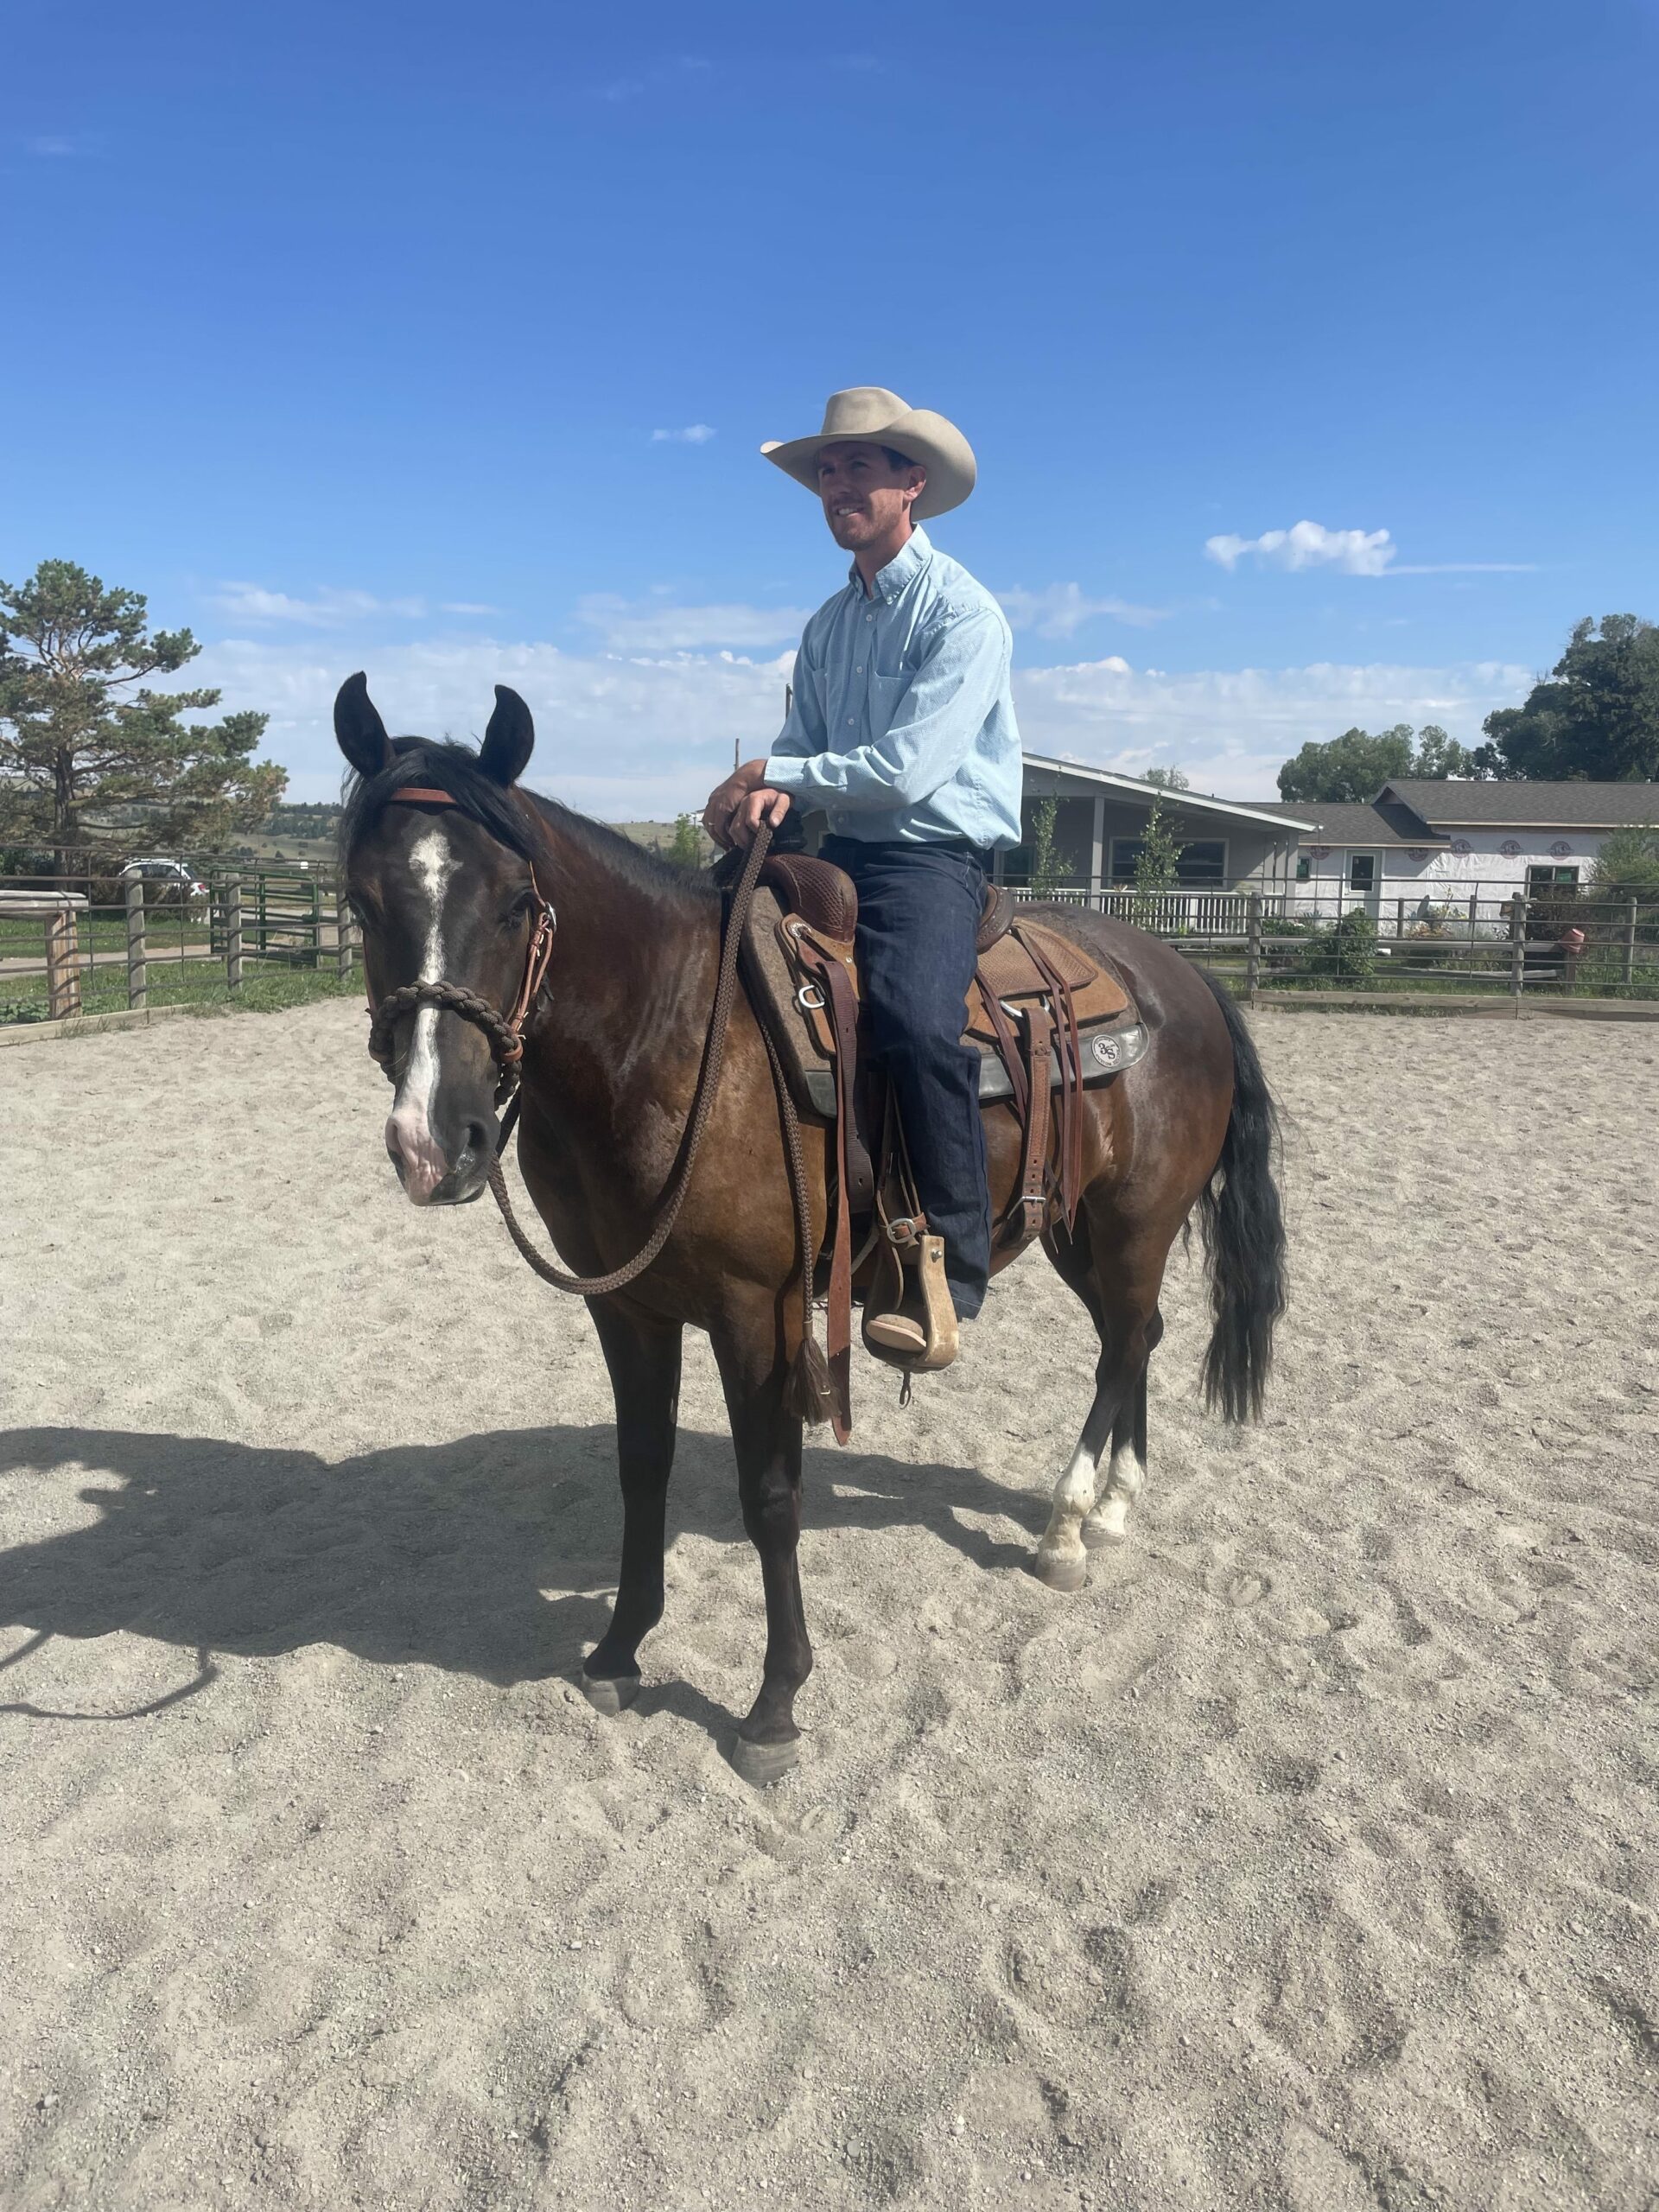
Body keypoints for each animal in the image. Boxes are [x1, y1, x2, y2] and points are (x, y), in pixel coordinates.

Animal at [334, 674, 1287, 1782]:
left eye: (515, 902)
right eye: (362, 902)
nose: (433, 1141)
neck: (668, 1038)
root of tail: (1184, 979)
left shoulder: (762, 1313)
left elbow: (772, 1496)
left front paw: (775, 1702)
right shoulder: (628, 1307)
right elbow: (641, 1467)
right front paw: (619, 1650)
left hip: (1134, 1223)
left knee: (1124, 1343)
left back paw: (1066, 1525)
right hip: (1079, 1229)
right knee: (1136, 1339)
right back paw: (1115, 1507)